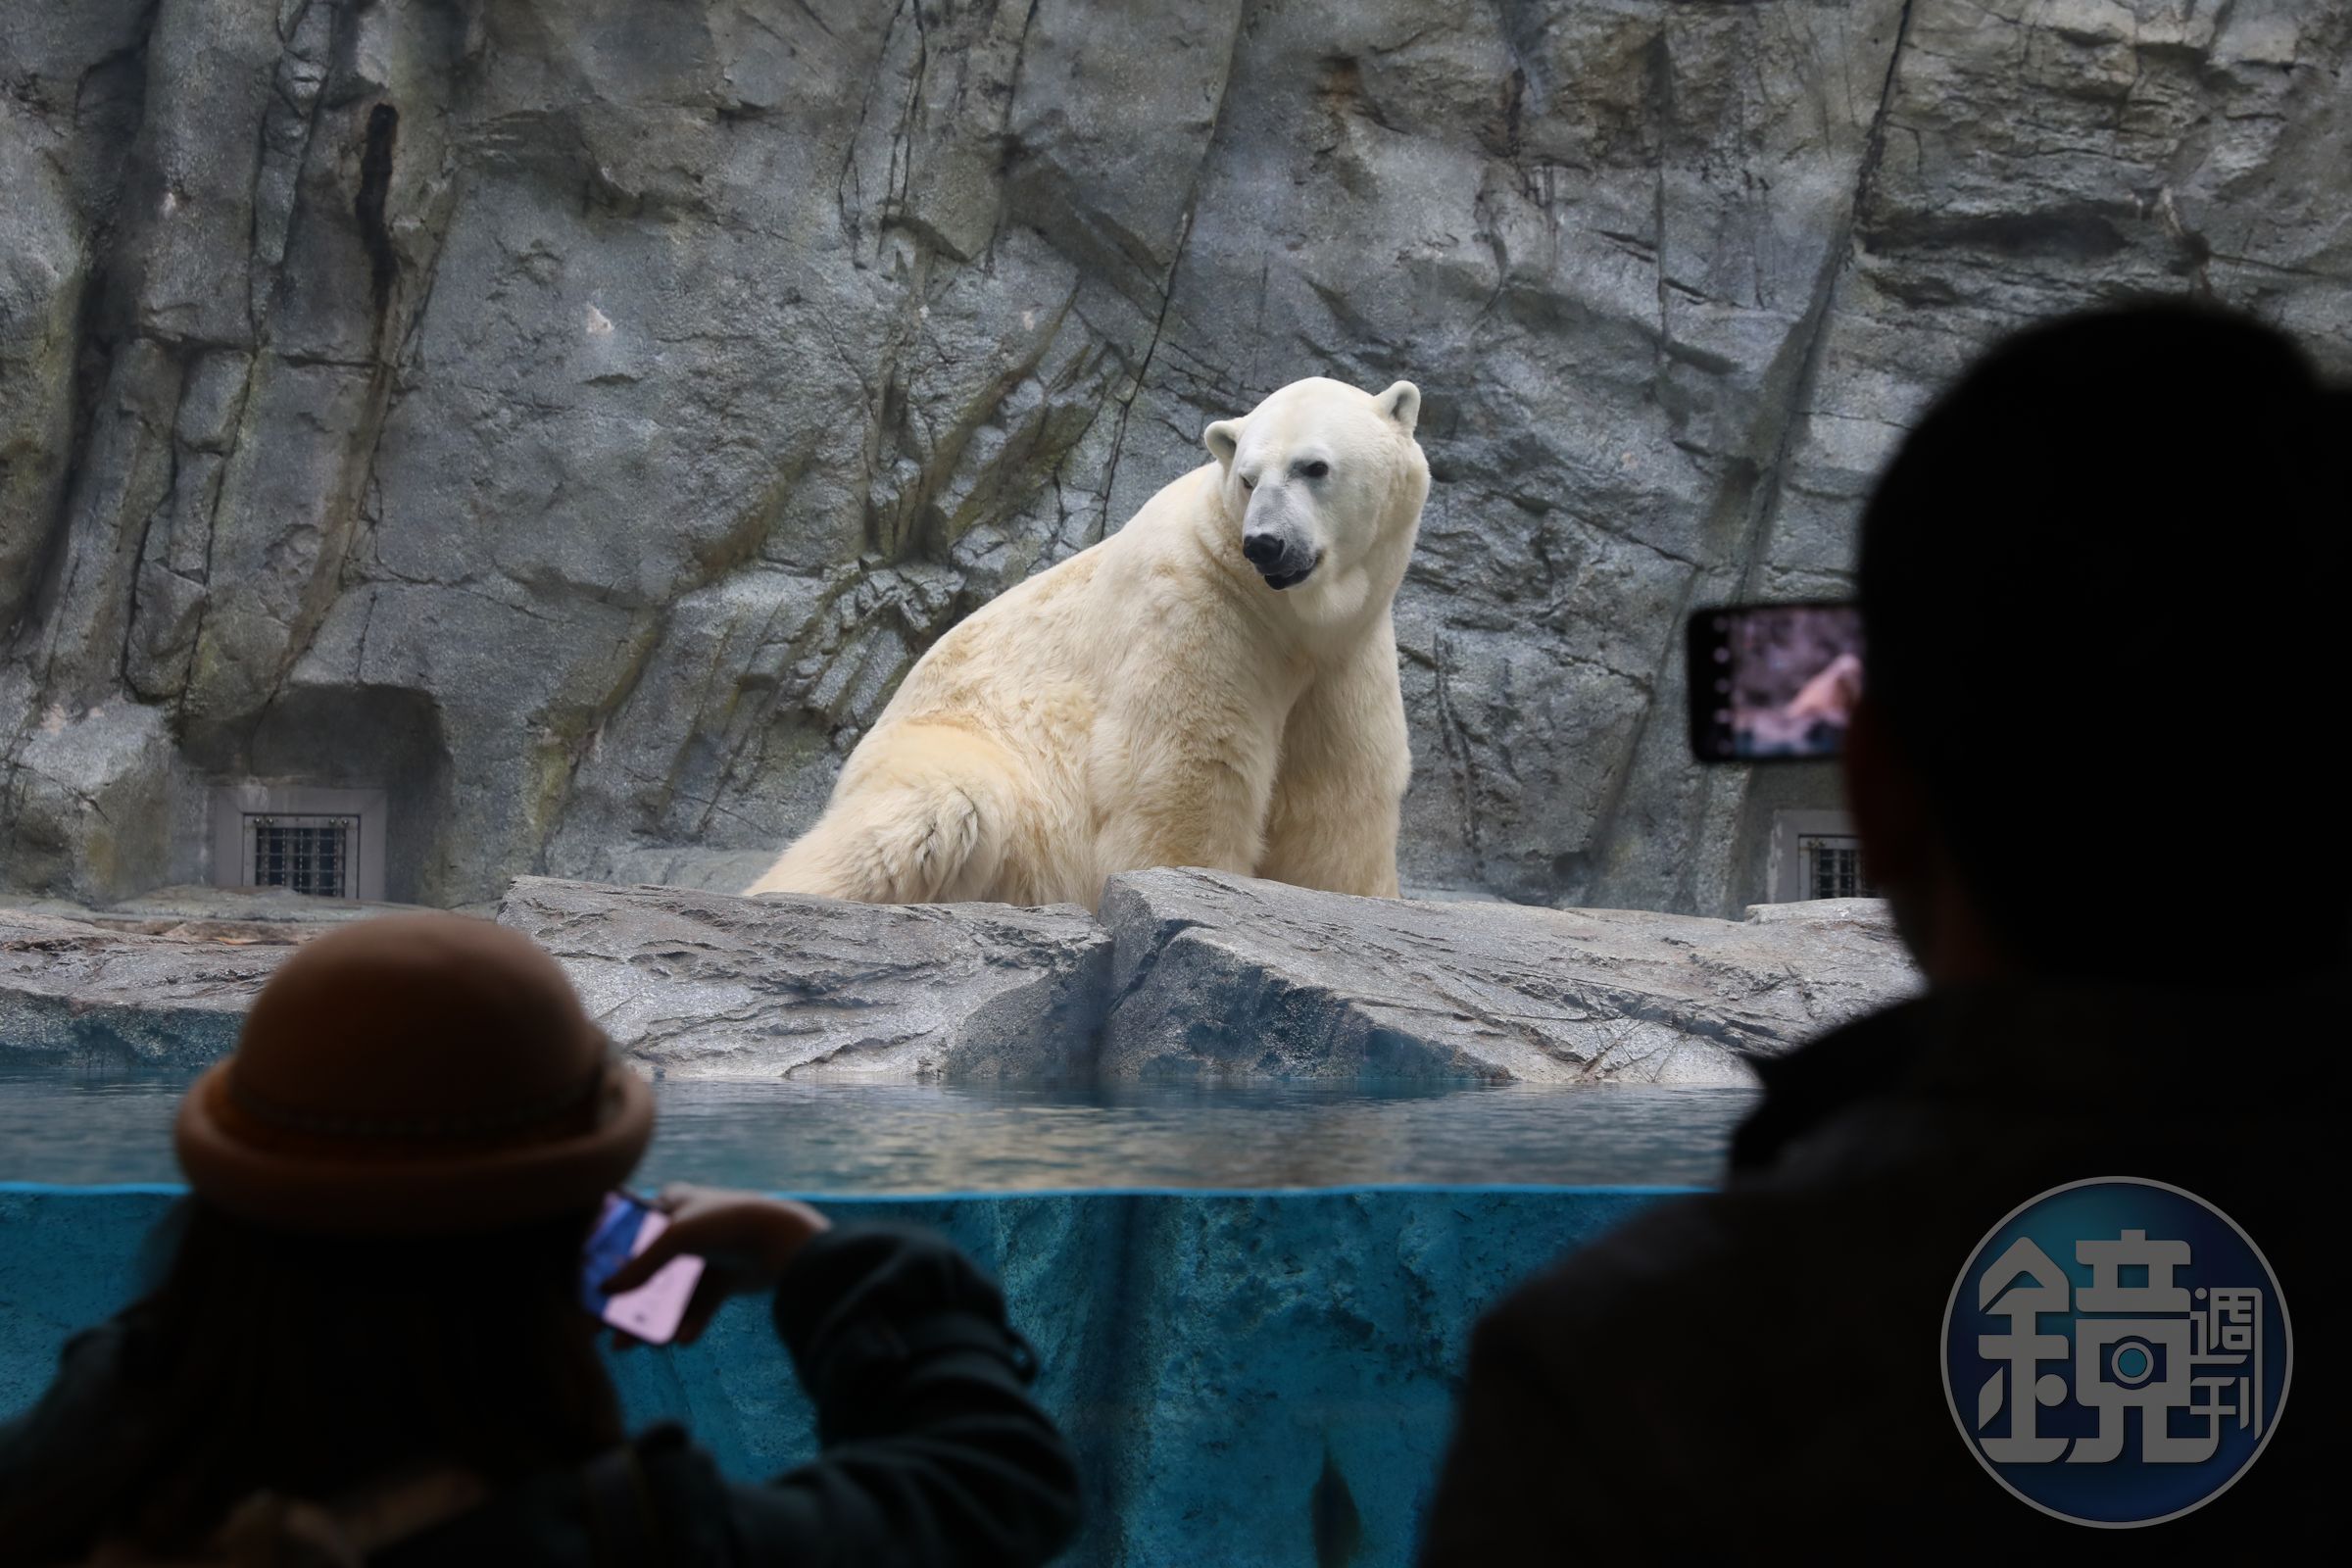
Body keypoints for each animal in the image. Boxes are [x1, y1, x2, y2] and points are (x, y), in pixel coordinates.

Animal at [745, 375, 1429, 908]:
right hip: (971, 754)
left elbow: (1338, 794)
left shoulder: (1347, 654)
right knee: (938, 812)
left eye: (1314, 467)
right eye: (1247, 478)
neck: (1286, 614)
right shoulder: (1195, 606)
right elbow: (1188, 766)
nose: (1265, 543)